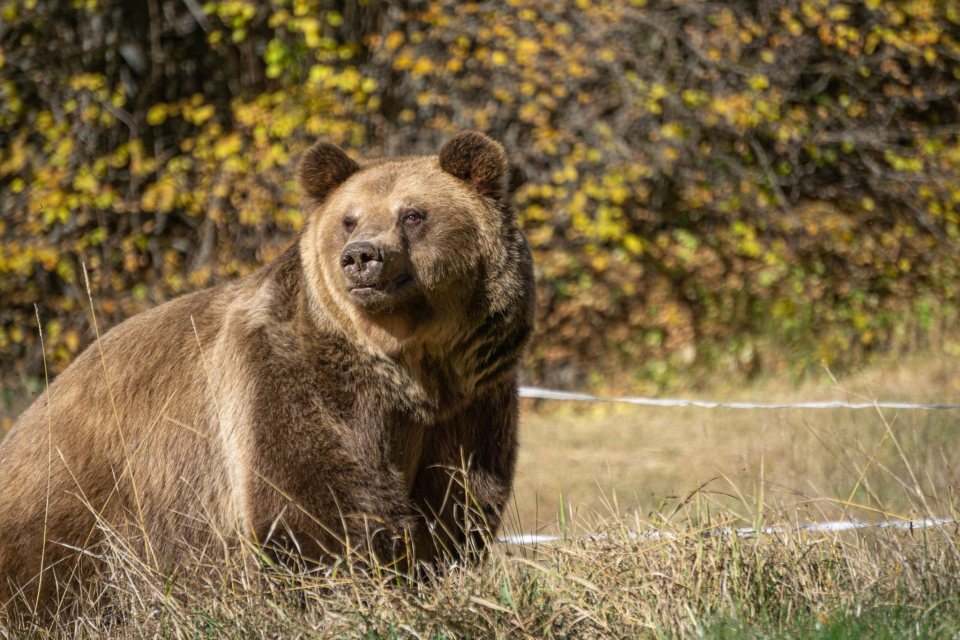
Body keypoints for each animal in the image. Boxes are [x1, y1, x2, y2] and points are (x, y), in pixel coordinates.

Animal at [0, 132, 536, 616]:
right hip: (78, 492)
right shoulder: (296, 375)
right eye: (349, 219)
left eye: (413, 214)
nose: (362, 256)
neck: (405, 367)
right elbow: (312, 501)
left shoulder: (469, 399)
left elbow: (457, 498)